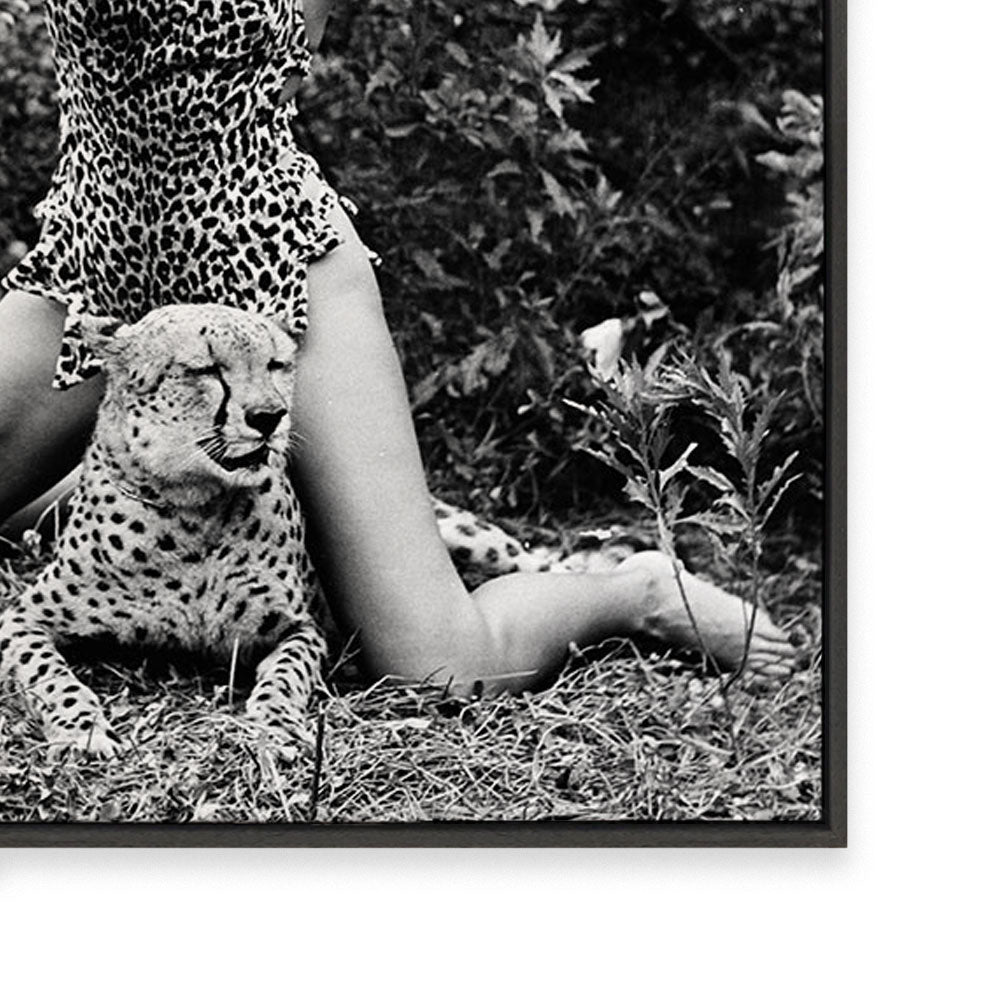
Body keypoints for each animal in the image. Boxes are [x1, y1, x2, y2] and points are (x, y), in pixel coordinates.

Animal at [0, 303, 641, 758]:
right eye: (206, 369)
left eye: (277, 365)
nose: (268, 417)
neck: (194, 510)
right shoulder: (21, 618)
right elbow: (51, 675)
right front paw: (82, 731)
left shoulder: (303, 629)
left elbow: (285, 677)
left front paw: (275, 726)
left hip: (472, 542)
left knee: (549, 564)